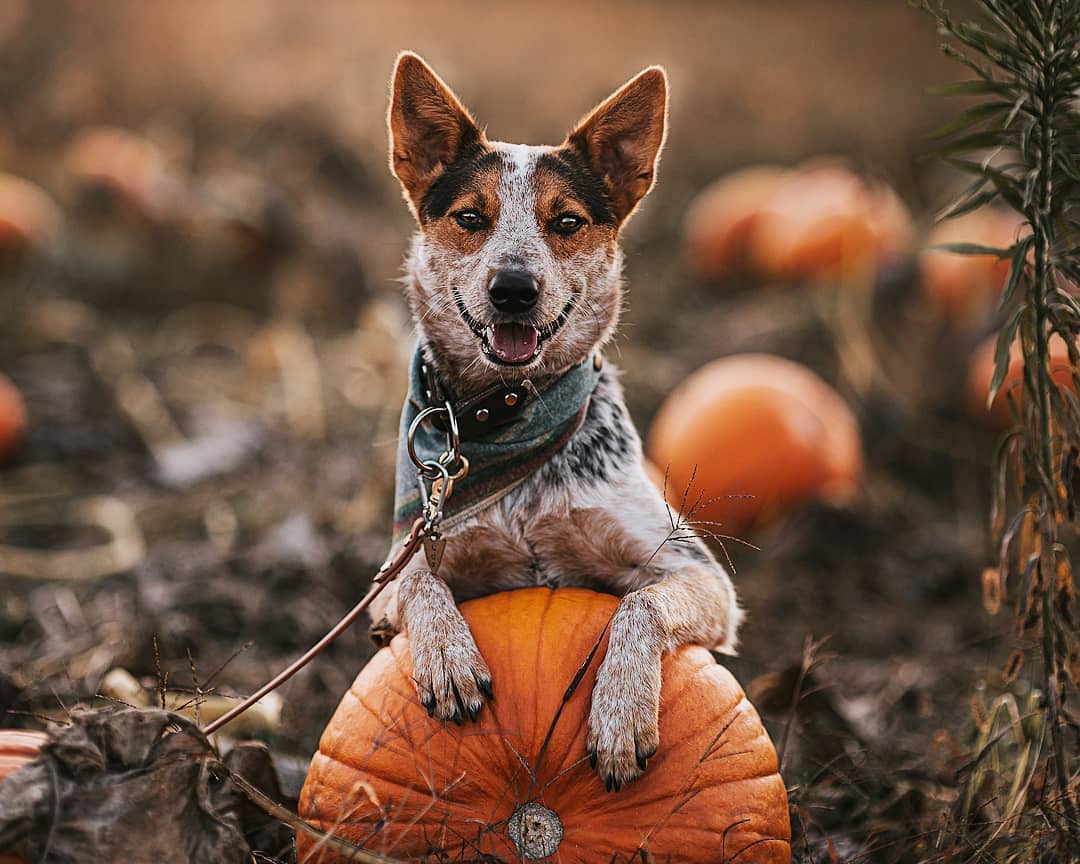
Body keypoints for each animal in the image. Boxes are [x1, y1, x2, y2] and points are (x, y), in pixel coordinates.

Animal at [371, 54, 743, 794]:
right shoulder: (391, 576)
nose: (514, 289)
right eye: (470, 216)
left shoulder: (701, 578)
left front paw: (621, 714)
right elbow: (420, 581)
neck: (507, 416)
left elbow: (639, 605)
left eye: (566, 222)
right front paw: (449, 657)